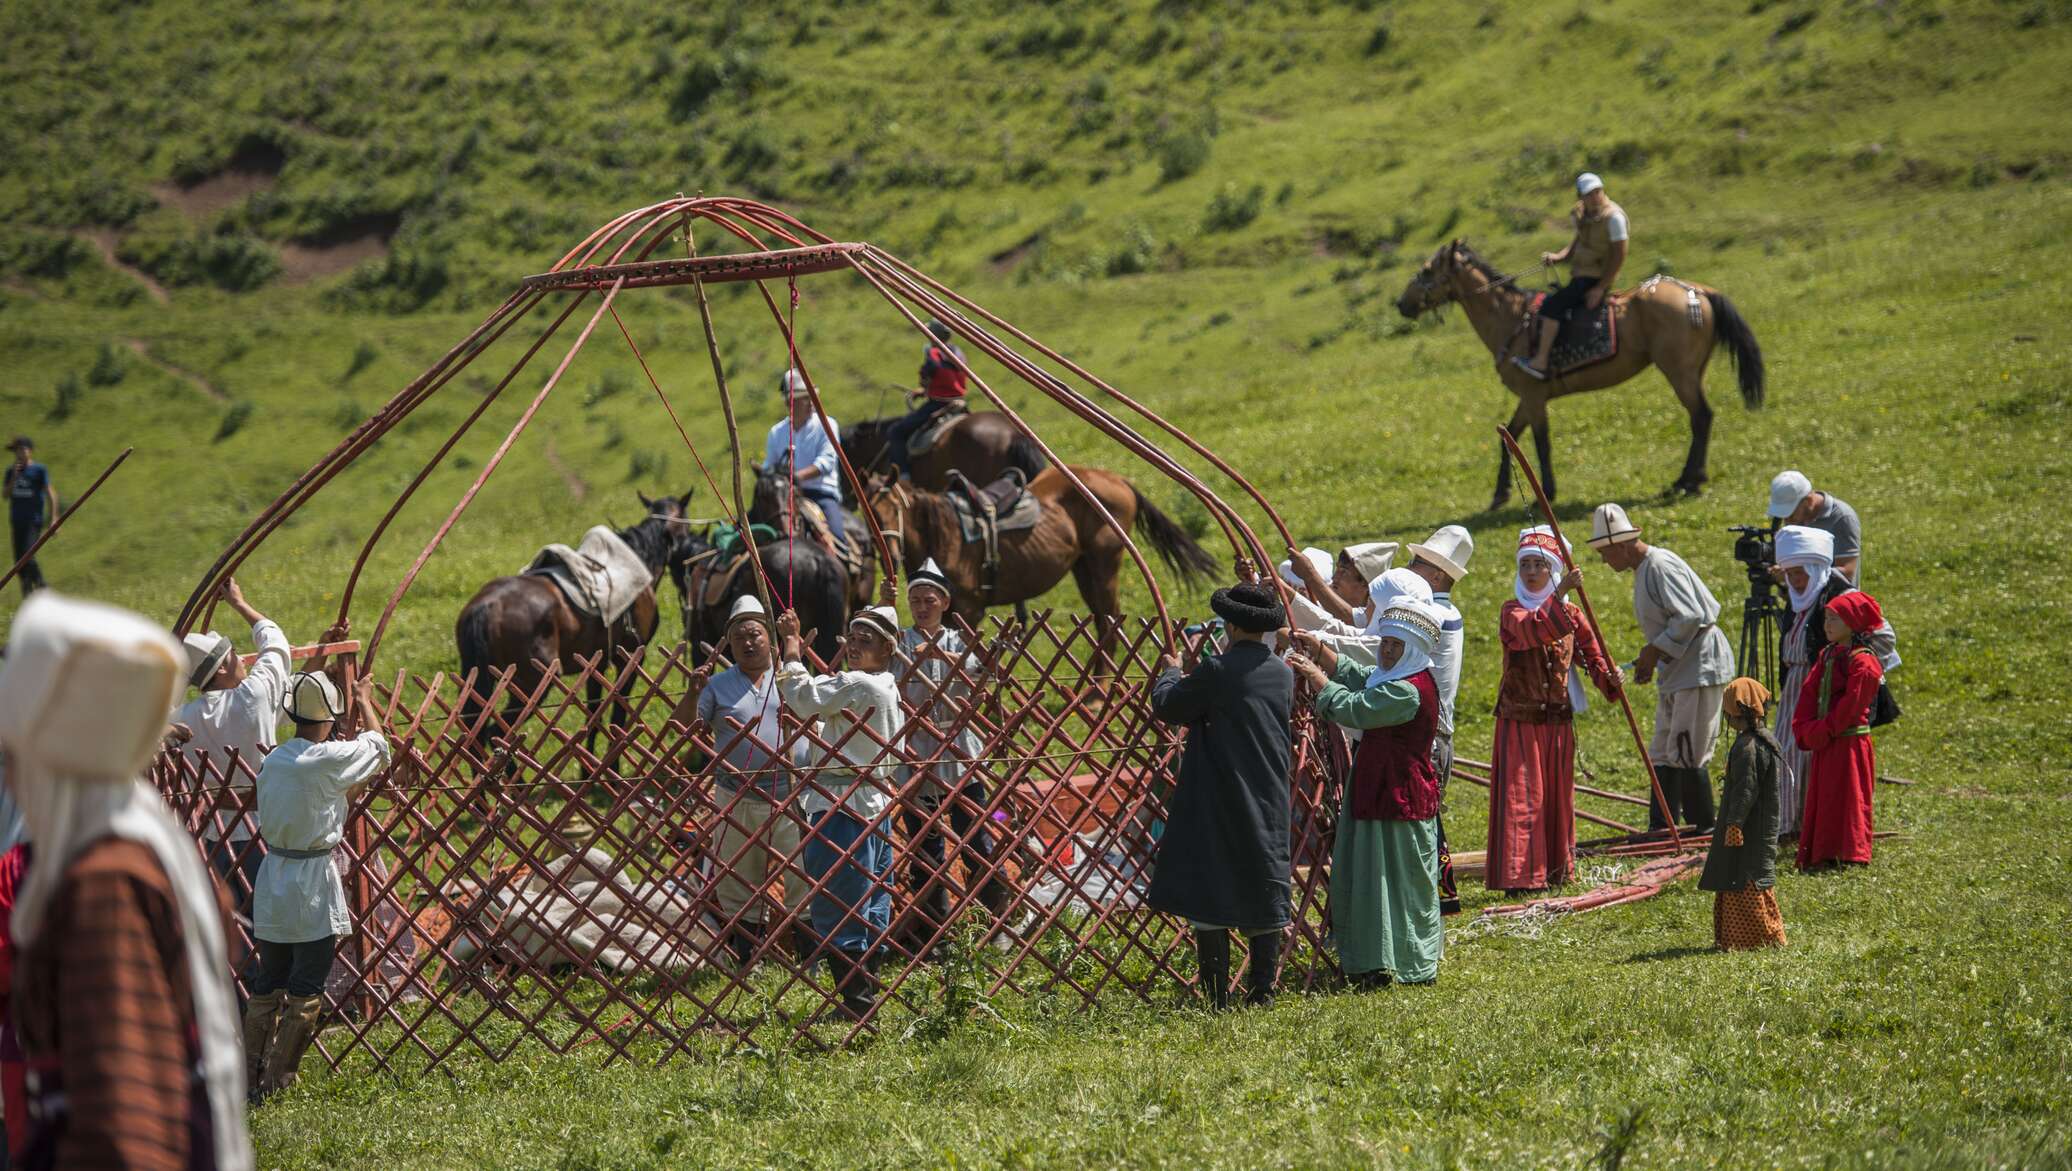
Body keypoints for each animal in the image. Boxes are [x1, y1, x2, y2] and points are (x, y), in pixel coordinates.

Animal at [455, 489, 696, 754]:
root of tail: (486, 607)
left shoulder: (596, 665)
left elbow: (593, 715)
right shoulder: (631, 657)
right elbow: (617, 717)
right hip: (532, 684)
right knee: (498, 734)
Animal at [866, 464, 1218, 667]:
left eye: (893, 508)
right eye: (867, 514)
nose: (890, 555)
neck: (944, 535)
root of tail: (1118, 479)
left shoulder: (968, 610)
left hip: (1105, 565)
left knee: (1109, 623)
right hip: (1084, 569)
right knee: (1102, 622)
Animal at [1392, 239, 1765, 509]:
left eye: (1427, 270)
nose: (1401, 304)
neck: (1511, 319)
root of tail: (1698, 291)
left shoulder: (1534, 396)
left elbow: (1541, 443)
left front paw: (1546, 493)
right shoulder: (1528, 398)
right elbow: (1509, 439)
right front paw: (1500, 495)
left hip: (1679, 372)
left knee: (1701, 416)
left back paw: (1689, 481)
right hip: (1692, 370)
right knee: (1701, 417)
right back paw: (1686, 480)